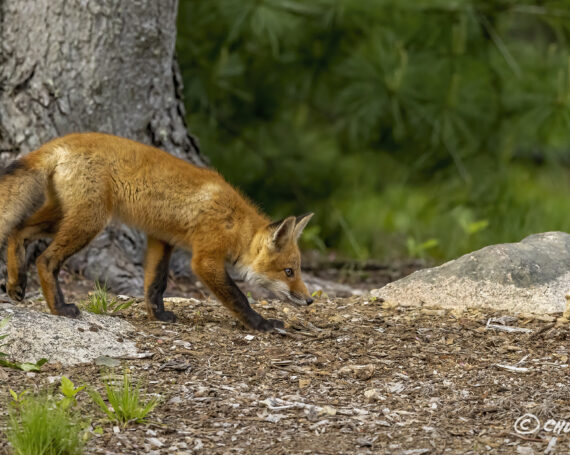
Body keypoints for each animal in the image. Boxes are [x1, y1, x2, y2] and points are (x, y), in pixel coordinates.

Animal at [0, 132, 310, 332]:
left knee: (17, 230)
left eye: (297, 270)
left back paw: (16, 284)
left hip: (63, 216)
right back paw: (60, 308)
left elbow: (155, 284)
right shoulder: (205, 259)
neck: (235, 224)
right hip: (89, 221)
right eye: (289, 272)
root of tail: (61, 141)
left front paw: (157, 315)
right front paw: (262, 324)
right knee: (45, 260)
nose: (309, 300)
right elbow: (239, 297)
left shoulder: (162, 239)